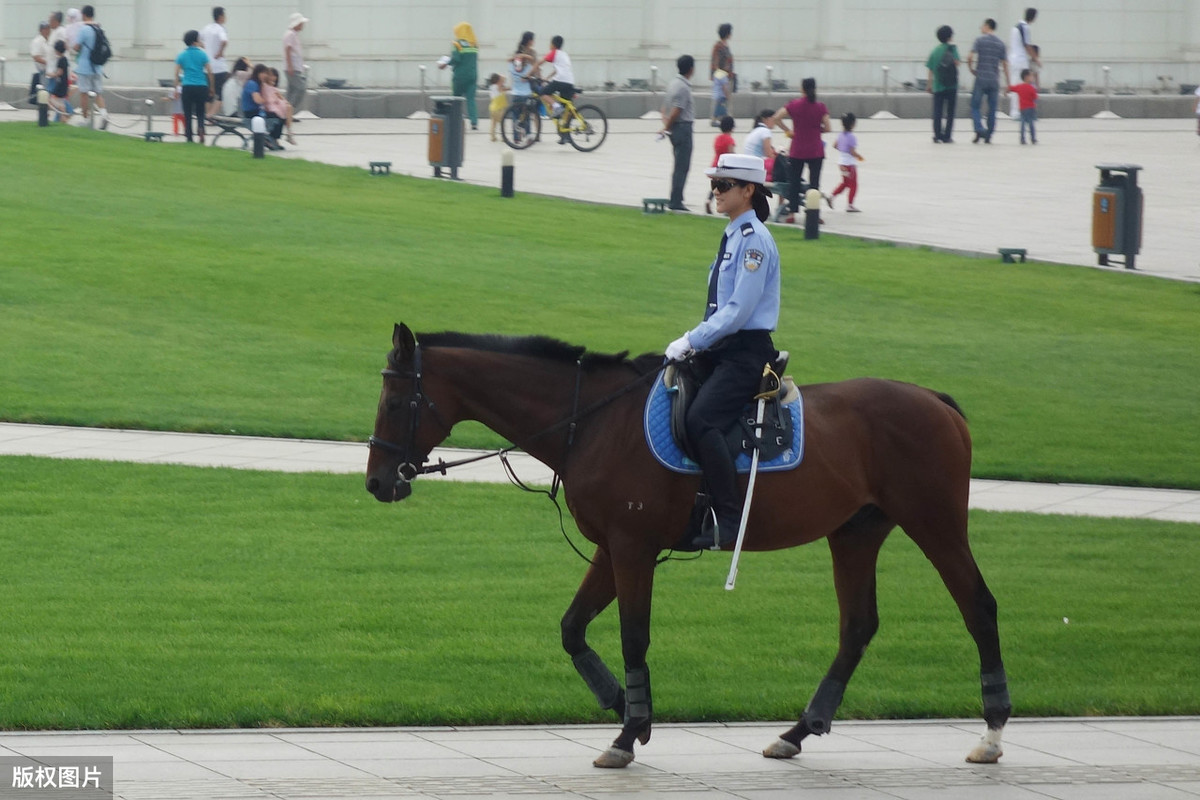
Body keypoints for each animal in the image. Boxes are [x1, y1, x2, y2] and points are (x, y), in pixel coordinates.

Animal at [364, 323, 1012, 767]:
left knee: (979, 607)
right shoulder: (612, 547)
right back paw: (799, 730)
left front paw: (629, 731)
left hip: (935, 523)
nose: (377, 482)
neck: (593, 421)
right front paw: (623, 705)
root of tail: (935, 400)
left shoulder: (632, 547)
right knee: (857, 627)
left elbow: (632, 634)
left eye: (395, 403)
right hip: (856, 532)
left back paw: (992, 730)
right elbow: (573, 628)